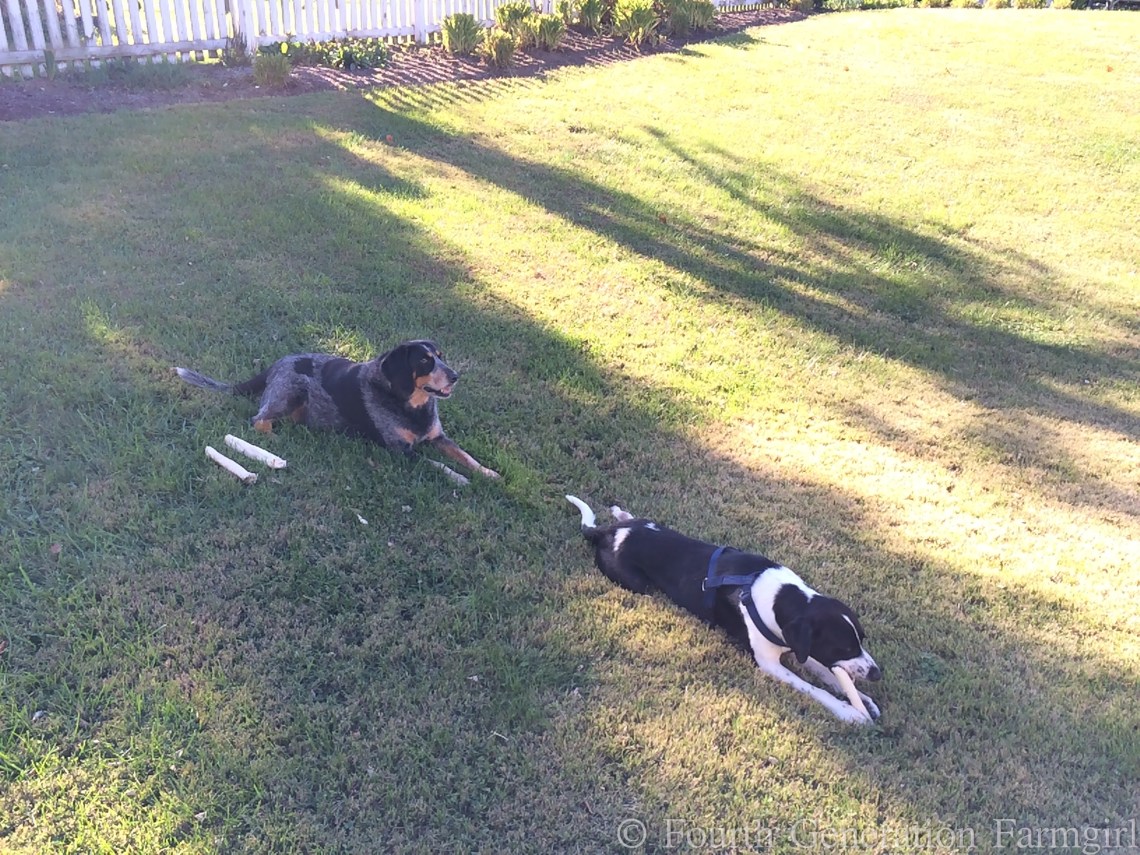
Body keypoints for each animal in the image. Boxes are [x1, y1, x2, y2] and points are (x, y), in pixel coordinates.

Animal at [174, 340, 499, 483]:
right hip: (290, 392)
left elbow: (464, 456)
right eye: (424, 361)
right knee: (258, 420)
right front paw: (459, 478)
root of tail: (276, 365)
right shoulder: (401, 451)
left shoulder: (438, 437)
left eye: (441, 357)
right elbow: (439, 465)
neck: (409, 403)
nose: (455, 376)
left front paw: (489, 472)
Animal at [566, 495, 881, 725]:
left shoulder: (796, 646)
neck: (783, 597)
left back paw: (622, 512)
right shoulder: (770, 663)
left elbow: (826, 673)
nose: (876, 674)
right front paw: (848, 711)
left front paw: (862, 698)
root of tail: (607, 532)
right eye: (843, 647)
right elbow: (813, 688)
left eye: (861, 640)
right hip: (637, 584)